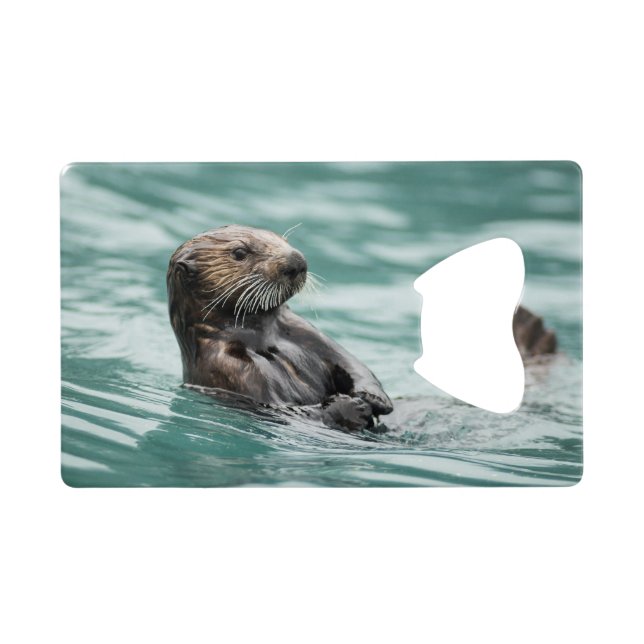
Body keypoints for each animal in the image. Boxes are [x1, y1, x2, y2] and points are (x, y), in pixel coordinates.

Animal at [167, 225, 556, 431]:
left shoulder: (304, 331)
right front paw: (351, 408)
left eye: (281, 238)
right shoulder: (229, 369)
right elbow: (287, 410)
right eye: (239, 253)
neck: (263, 338)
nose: (297, 261)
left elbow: (351, 363)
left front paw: (373, 397)